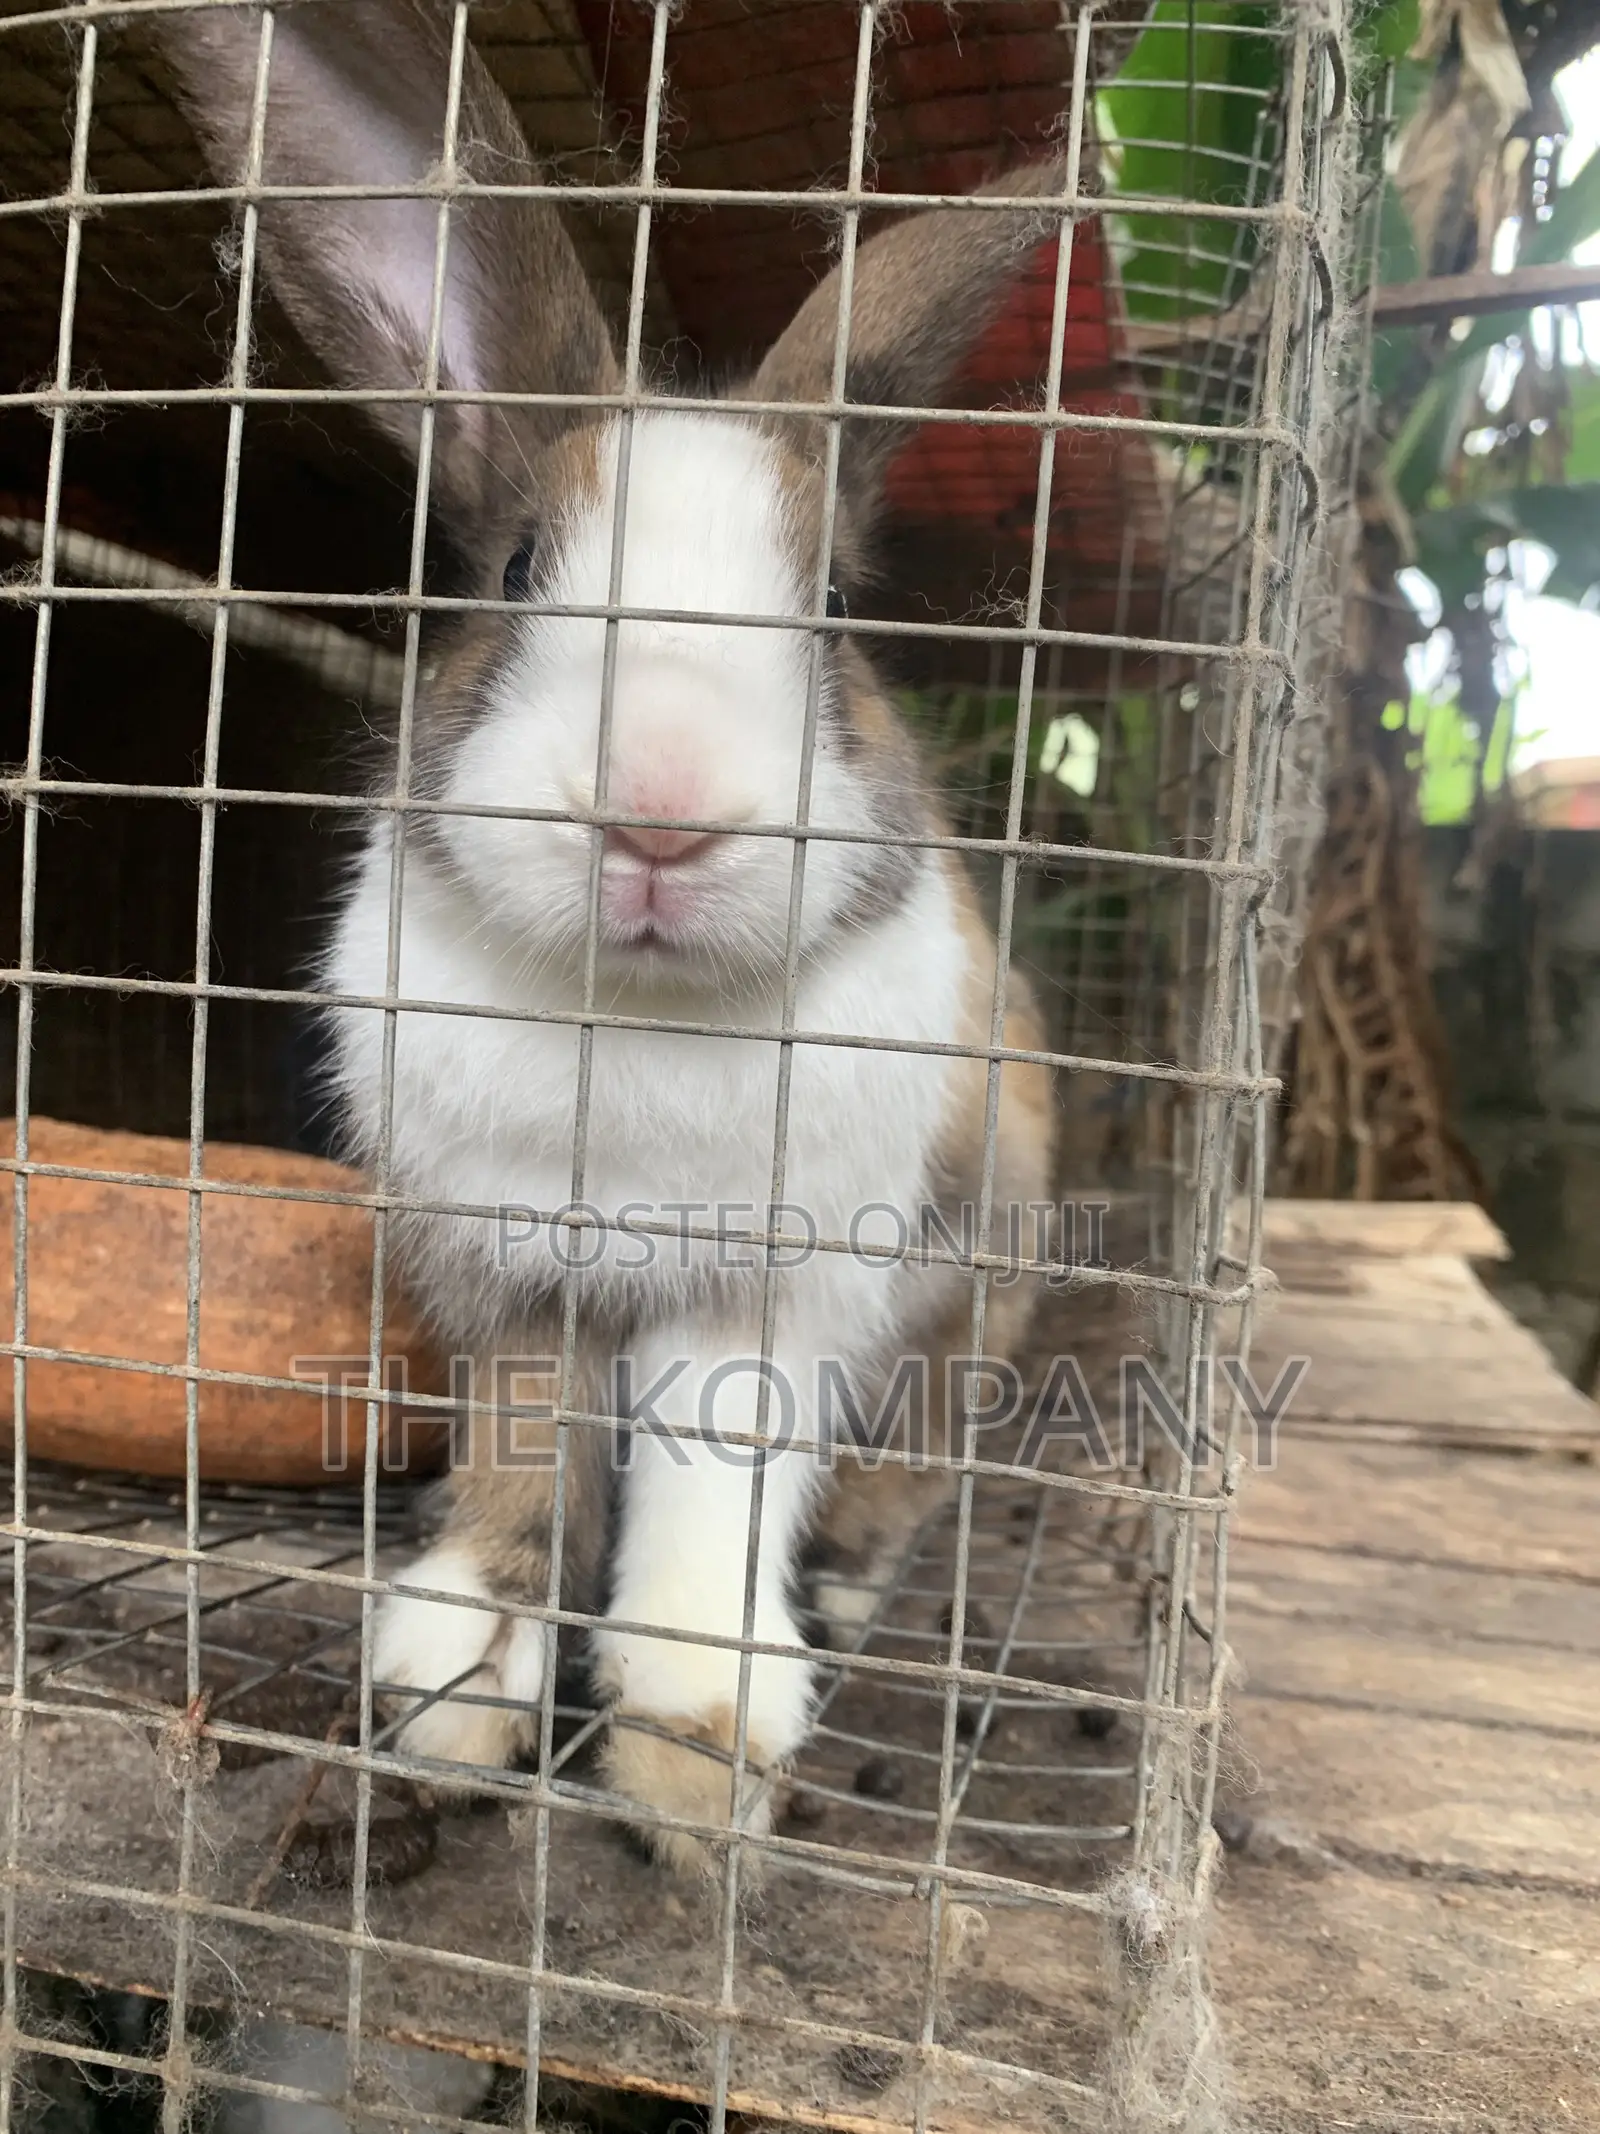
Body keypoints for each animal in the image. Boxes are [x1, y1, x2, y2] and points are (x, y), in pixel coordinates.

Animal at [157, 0, 1060, 1876]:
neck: (628, 1014)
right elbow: (519, 1470)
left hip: (982, 1274)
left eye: (835, 606)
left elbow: (716, 1490)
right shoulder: (504, 1269)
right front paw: (458, 1690)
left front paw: (693, 1753)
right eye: (515, 568)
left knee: (908, 1466)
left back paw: (841, 1594)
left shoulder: (773, 1289)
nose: (662, 808)